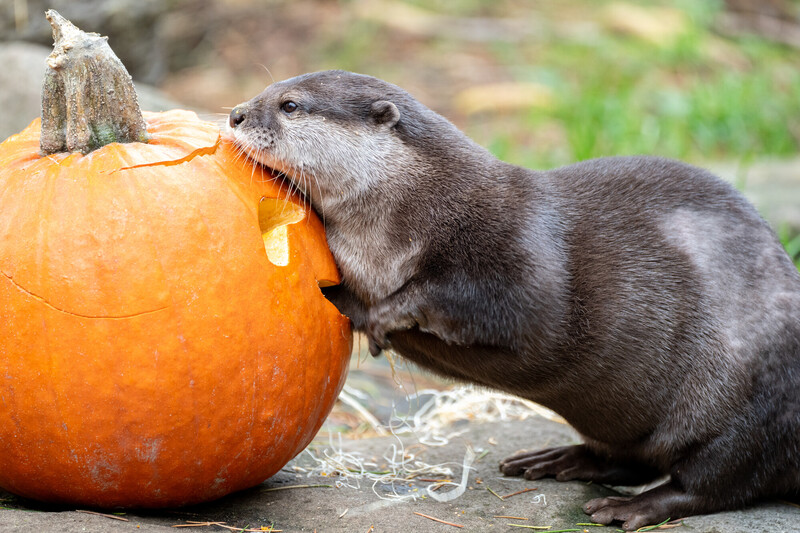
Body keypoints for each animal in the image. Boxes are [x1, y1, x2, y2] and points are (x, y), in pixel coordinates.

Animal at [226, 70, 800, 530]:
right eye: (270, 92)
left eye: (290, 104)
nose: (234, 113)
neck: (418, 211)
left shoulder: (515, 253)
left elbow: (501, 305)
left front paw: (390, 312)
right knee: (634, 458)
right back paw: (559, 460)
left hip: (750, 400)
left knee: (714, 480)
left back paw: (631, 507)